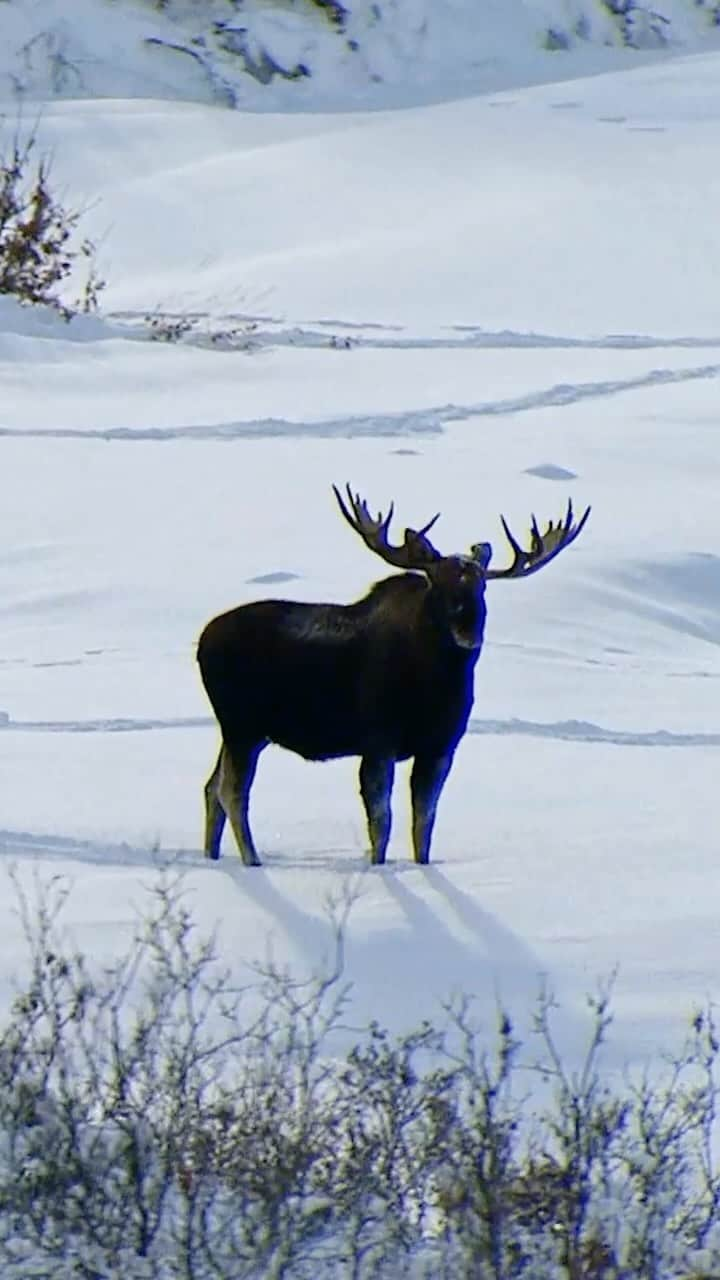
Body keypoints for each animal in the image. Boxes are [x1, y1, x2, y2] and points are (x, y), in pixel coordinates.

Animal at [193, 483, 586, 865]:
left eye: (482, 586)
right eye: (438, 583)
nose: (469, 631)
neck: (437, 686)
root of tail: (201, 642)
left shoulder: (441, 746)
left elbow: (424, 824)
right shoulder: (378, 740)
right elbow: (381, 821)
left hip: (247, 731)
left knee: (212, 787)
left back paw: (213, 855)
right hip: (241, 725)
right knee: (231, 792)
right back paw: (252, 860)